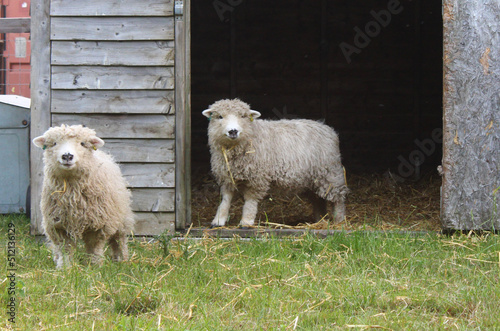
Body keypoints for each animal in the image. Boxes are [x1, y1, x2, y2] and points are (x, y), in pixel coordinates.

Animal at [33, 125, 135, 270]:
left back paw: (121, 260)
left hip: (121, 218)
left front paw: (94, 266)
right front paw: (64, 268)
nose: (67, 156)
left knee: (119, 240)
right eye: (54, 143)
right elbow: (65, 248)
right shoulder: (57, 225)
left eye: (82, 143)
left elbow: (94, 247)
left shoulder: (98, 225)